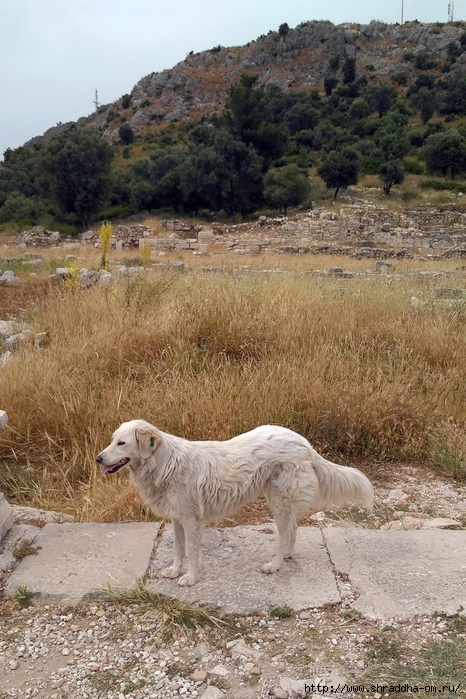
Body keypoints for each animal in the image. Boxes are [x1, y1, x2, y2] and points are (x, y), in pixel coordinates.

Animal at [96, 418, 374, 588]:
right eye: (112, 440)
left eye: (121, 443)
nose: (98, 458)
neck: (163, 463)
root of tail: (303, 442)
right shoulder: (176, 518)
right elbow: (178, 549)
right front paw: (175, 571)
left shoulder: (191, 520)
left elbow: (193, 553)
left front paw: (190, 578)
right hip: (280, 500)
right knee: (293, 529)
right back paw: (287, 555)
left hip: (279, 500)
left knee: (285, 533)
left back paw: (275, 564)